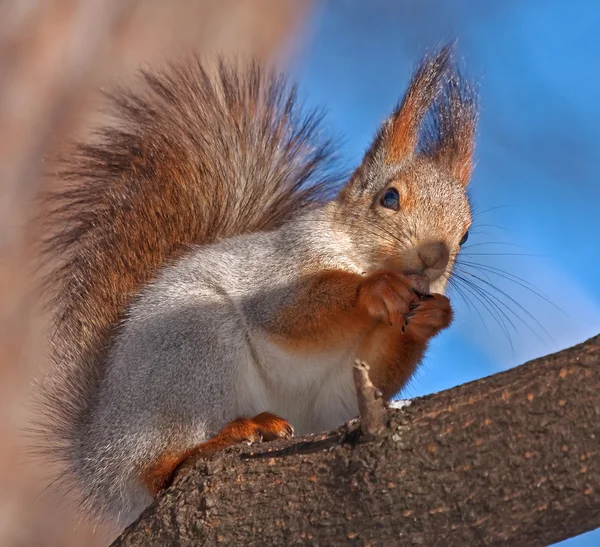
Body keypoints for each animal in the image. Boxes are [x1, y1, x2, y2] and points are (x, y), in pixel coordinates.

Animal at [37, 47, 478, 532]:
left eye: (466, 234)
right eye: (390, 198)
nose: (434, 256)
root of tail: (98, 452)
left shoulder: (342, 388)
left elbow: (358, 384)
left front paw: (432, 317)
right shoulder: (280, 265)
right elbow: (288, 312)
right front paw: (374, 290)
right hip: (190, 348)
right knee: (155, 469)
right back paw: (220, 439)